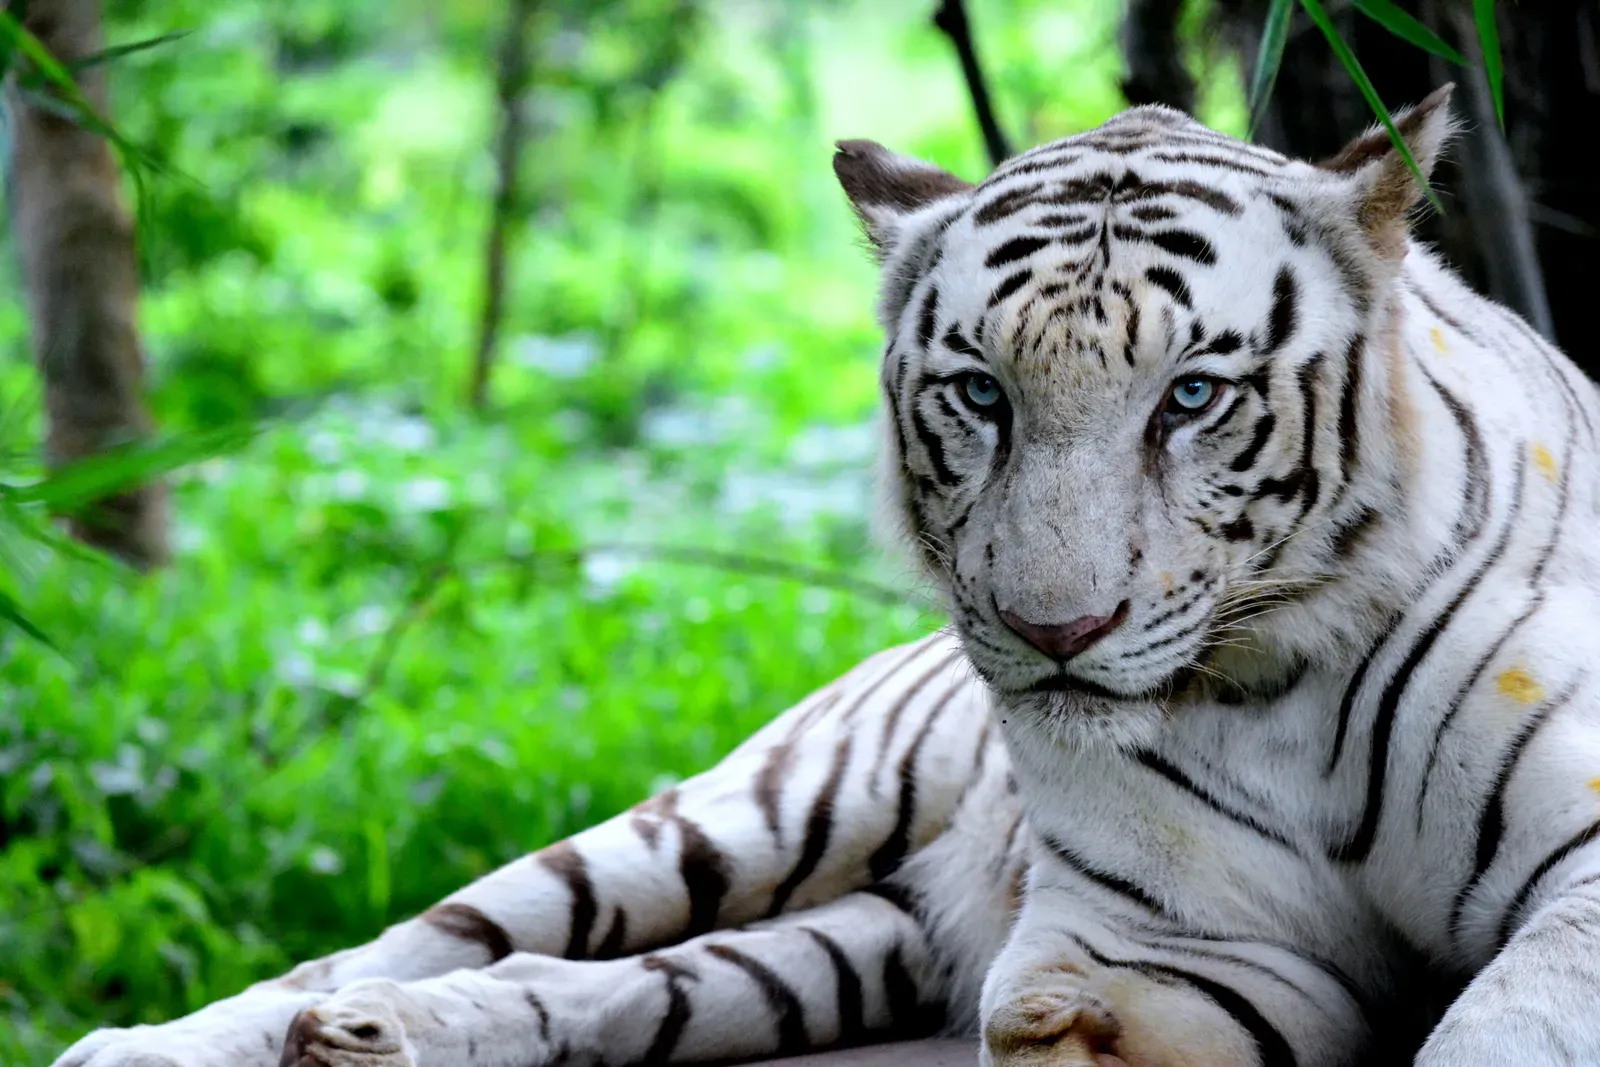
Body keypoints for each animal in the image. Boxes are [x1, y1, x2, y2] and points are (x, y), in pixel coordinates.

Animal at [49, 83, 1600, 1067]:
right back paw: (158, 1044)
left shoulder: (1578, 880)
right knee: (409, 942)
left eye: (1193, 395)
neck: (1283, 681)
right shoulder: (1156, 952)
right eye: (980, 393)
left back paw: (375, 1041)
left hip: (847, 943)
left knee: (622, 988)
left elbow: (1493, 1029)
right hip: (746, 813)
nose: (1053, 630)